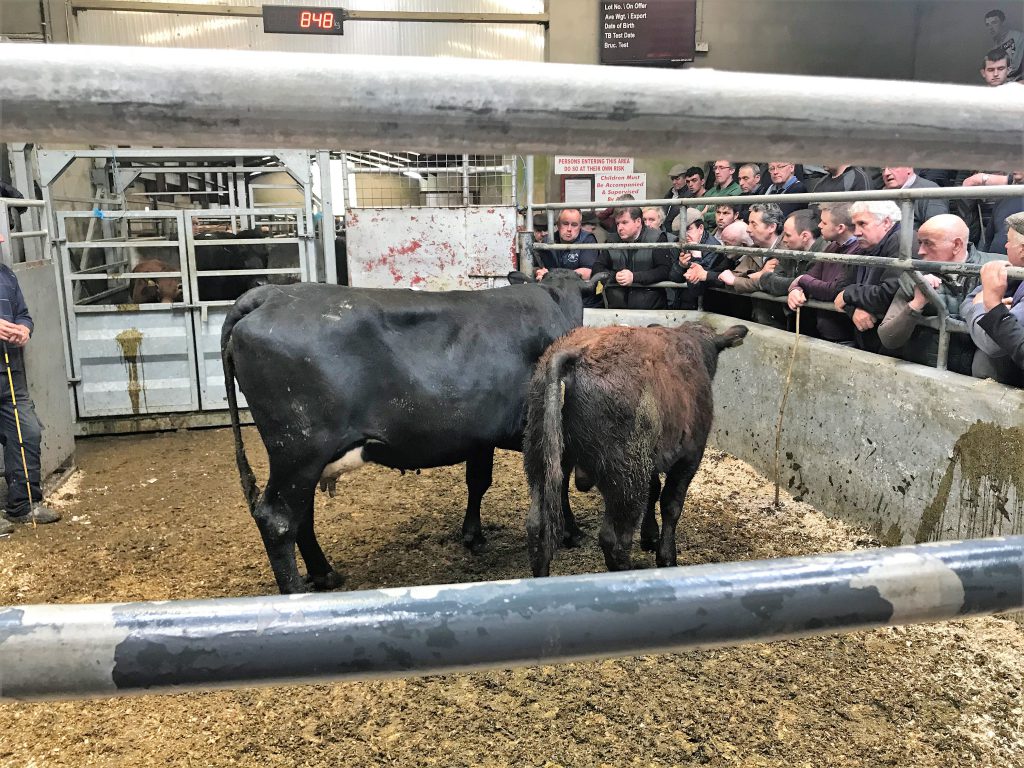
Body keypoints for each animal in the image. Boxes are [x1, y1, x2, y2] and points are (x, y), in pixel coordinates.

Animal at [221, 269, 606, 593]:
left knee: (302, 513)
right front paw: (571, 532)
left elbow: (478, 481)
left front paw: (473, 536)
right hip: (300, 448)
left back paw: (324, 573)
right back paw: (296, 590)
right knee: (278, 519)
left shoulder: (479, 436)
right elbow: (558, 480)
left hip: (305, 457)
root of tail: (269, 294)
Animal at [523, 322, 748, 577]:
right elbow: (671, 504)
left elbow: (654, 490)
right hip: (626, 479)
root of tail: (577, 352)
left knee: (538, 526)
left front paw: (649, 536)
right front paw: (666, 556)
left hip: (541, 460)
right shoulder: (689, 457)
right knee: (614, 539)